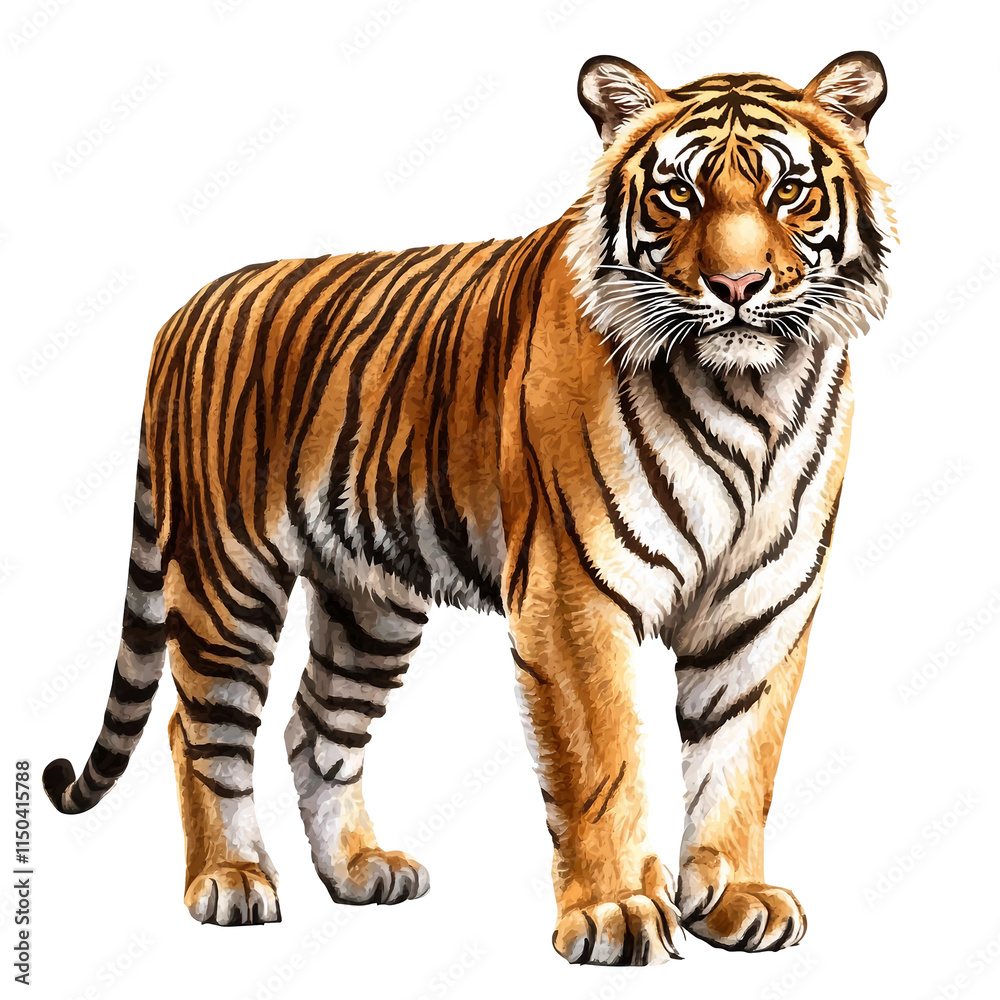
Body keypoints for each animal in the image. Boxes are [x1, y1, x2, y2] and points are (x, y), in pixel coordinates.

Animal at [44, 51, 892, 965]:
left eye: (789, 192)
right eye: (677, 194)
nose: (736, 285)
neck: (750, 395)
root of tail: (182, 312)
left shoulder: (763, 605)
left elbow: (740, 758)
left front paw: (736, 899)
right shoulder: (574, 594)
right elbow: (603, 763)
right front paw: (617, 913)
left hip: (369, 603)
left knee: (317, 726)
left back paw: (361, 870)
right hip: (225, 576)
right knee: (199, 726)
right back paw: (231, 880)